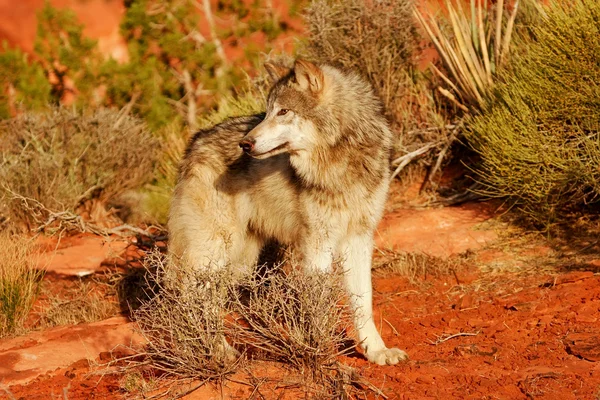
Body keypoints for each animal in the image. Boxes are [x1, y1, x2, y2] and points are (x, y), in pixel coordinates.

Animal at [166, 58, 406, 366]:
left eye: (283, 111)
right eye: (267, 111)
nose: (245, 144)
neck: (342, 161)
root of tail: (194, 142)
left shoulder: (359, 237)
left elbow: (363, 300)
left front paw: (376, 351)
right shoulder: (318, 242)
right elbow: (318, 301)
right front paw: (319, 350)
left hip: (240, 262)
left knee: (210, 300)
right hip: (214, 252)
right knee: (190, 297)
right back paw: (208, 350)